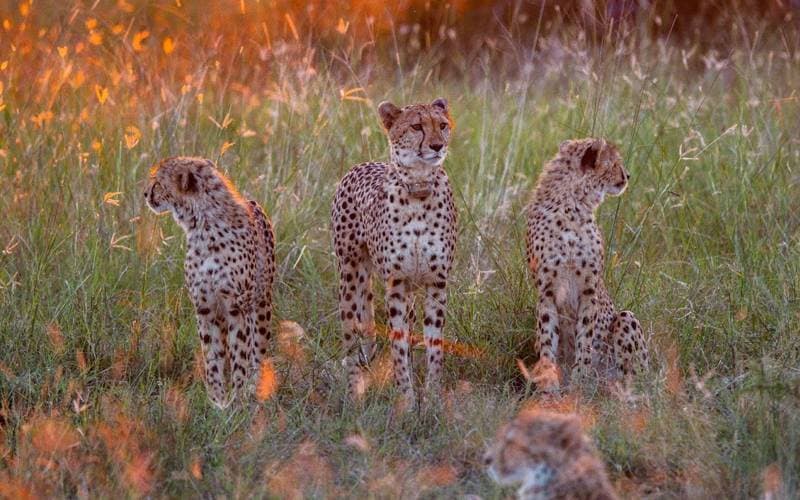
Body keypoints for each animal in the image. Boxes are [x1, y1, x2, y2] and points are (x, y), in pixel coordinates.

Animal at [144, 157, 275, 408]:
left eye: (158, 183)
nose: (145, 193)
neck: (203, 224)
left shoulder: (236, 306)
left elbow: (240, 352)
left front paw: (238, 399)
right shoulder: (204, 307)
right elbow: (212, 355)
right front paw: (217, 401)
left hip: (262, 303)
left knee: (257, 349)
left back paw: (253, 387)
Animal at [331, 98, 457, 410]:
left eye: (442, 125)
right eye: (417, 126)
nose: (437, 145)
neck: (419, 189)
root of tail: (362, 164)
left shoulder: (436, 283)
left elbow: (434, 345)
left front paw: (432, 399)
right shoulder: (396, 285)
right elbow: (398, 347)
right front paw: (407, 401)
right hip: (349, 275)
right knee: (351, 335)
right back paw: (353, 396)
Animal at [525, 138, 648, 391]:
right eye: (614, 162)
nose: (628, 175)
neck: (571, 206)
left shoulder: (589, 291)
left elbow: (586, 338)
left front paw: (580, 381)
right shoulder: (546, 293)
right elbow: (547, 339)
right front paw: (549, 385)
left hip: (626, 320)